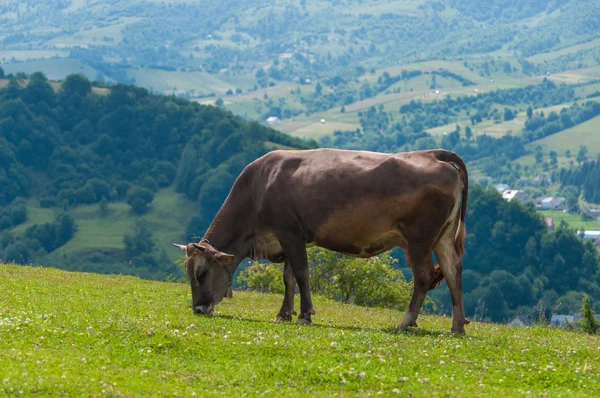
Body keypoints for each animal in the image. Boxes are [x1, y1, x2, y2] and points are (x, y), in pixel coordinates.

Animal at [171, 147, 472, 332]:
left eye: (201, 273)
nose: (198, 309)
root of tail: (434, 155)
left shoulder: (290, 232)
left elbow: (301, 274)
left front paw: (305, 315)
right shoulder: (289, 239)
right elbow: (288, 278)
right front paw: (284, 314)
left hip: (419, 238)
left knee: (424, 276)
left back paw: (405, 322)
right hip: (444, 237)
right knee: (453, 271)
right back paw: (457, 326)